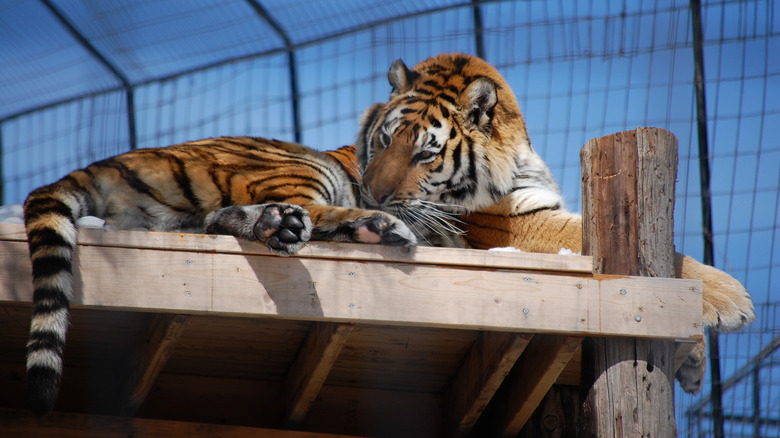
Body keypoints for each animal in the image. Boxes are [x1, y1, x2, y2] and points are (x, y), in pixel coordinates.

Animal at [21, 136, 418, 414]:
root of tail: (120, 160)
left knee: (218, 219)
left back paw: (280, 223)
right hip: (300, 169)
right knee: (309, 208)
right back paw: (363, 226)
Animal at [354, 52, 756, 394]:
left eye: (424, 154)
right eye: (385, 139)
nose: (371, 195)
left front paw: (695, 361)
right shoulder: (514, 222)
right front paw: (732, 298)